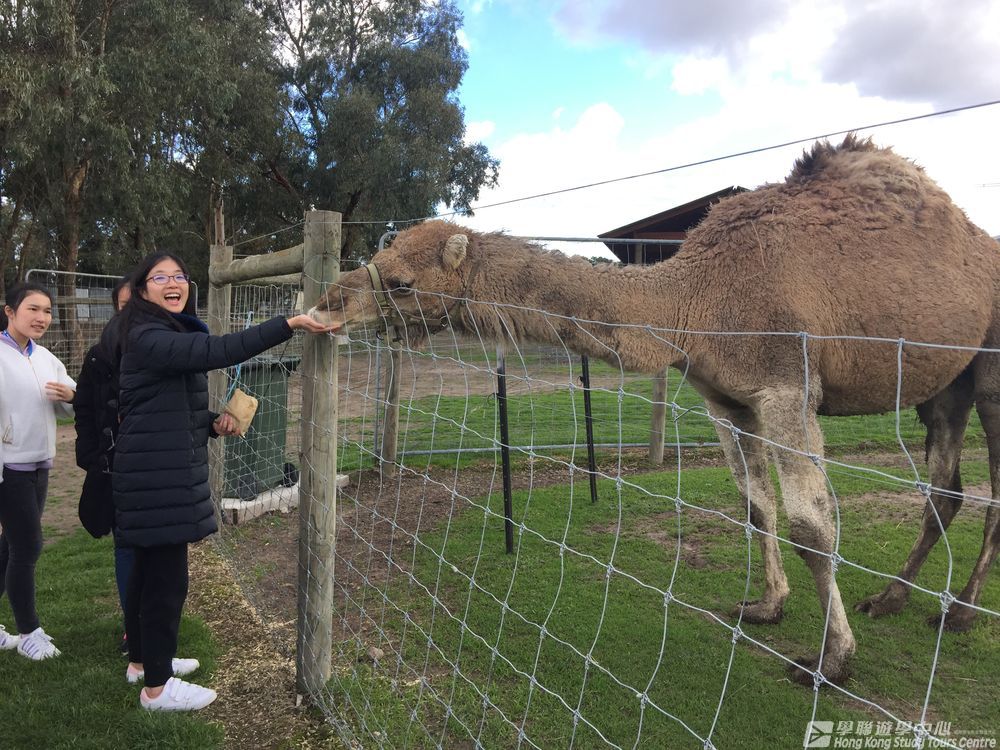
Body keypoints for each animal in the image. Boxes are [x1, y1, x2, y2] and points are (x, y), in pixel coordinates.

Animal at [310, 135, 1000, 684]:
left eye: (402, 283)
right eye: (378, 261)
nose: (328, 303)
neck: (695, 296)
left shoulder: (787, 385)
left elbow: (813, 526)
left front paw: (832, 661)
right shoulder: (724, 397)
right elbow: (756, 505)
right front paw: (767, 606)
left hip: (991, 367)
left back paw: (960, 612)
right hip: (944, 383)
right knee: (946, 488)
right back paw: (889, 599)